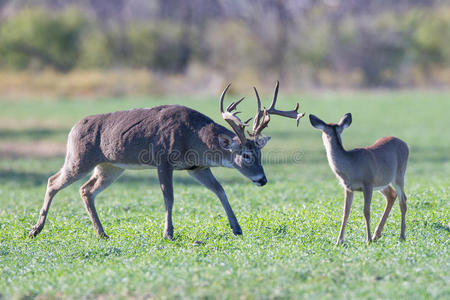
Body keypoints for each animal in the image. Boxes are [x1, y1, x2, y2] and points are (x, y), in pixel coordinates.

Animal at [29, 81, 306, 239]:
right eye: (246, 155)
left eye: (260, 154)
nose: (262, 179)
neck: (194, 137)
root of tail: (73, 128)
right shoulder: (164, 160)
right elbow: (169, 198)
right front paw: (168, 233)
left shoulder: (197, 167)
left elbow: (220, 190)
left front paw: (236, 228)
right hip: (79, 158)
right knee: (53, 181)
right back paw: (36, 230)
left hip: (111, 167)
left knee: (86, 190)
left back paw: (102, 233)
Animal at [310, 112, 408, 244]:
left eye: (323, 131)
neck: (351, 166)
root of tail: (405, 144)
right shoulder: (348, 188)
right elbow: (345, 212)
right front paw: (339, 241)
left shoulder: (368, 184)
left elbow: (366, 211)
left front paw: (367, 240)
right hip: (382, 182)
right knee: (392, 195)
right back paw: (377, 235)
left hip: (399, 175)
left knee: (403, 201)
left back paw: (401, 236)